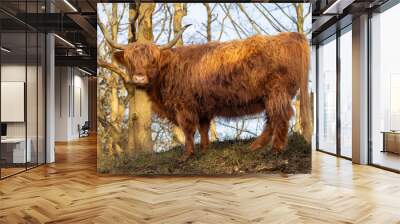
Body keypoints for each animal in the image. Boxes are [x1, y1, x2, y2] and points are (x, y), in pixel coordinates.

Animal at [110, 30, 312, 159]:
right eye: (130, 60)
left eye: (152, 60)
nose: (139, 78)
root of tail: (291, 35)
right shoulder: (203, 107)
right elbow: (203, 128)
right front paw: (205, 149)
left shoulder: (184, 105)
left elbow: (188, 129)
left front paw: (187, 154)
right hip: (271, 96)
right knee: (271, 120)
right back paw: (255, 146)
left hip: (277, 91)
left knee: (280, 116)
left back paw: (276, 149)